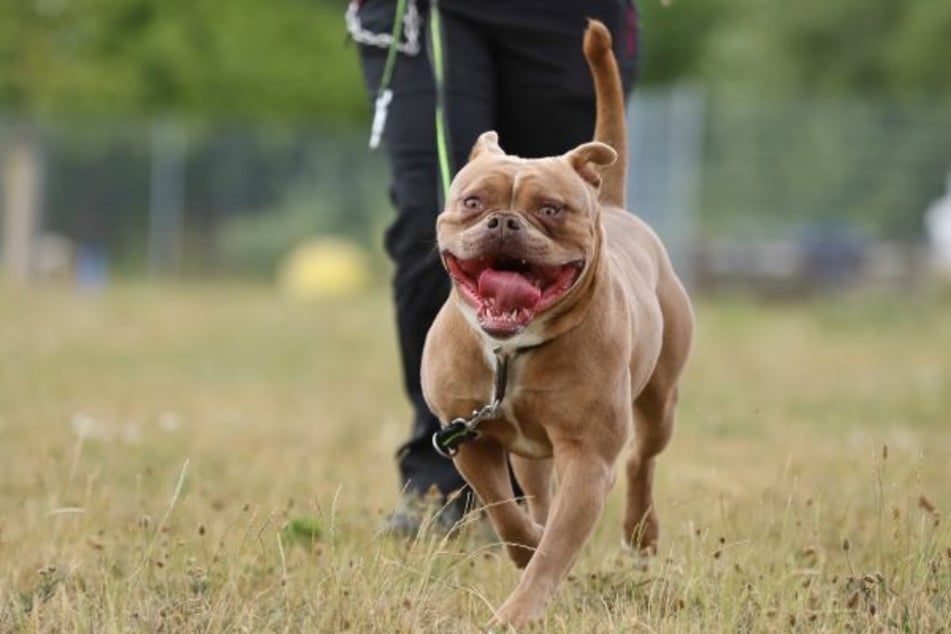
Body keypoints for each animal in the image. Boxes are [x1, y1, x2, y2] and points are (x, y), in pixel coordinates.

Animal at [422, 19, 692, 628]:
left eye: (550, 210)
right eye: (472, 202)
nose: (504, 221)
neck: (509, 351)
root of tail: (612, 205)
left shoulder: (588, 459)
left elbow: (554, 550)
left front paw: (517, 613)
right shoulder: (468, 439)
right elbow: (508, 514)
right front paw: (525, 545)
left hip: (659, 400)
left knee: (642, 458)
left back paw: (641, 533)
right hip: (531, 451)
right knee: (540, 494)